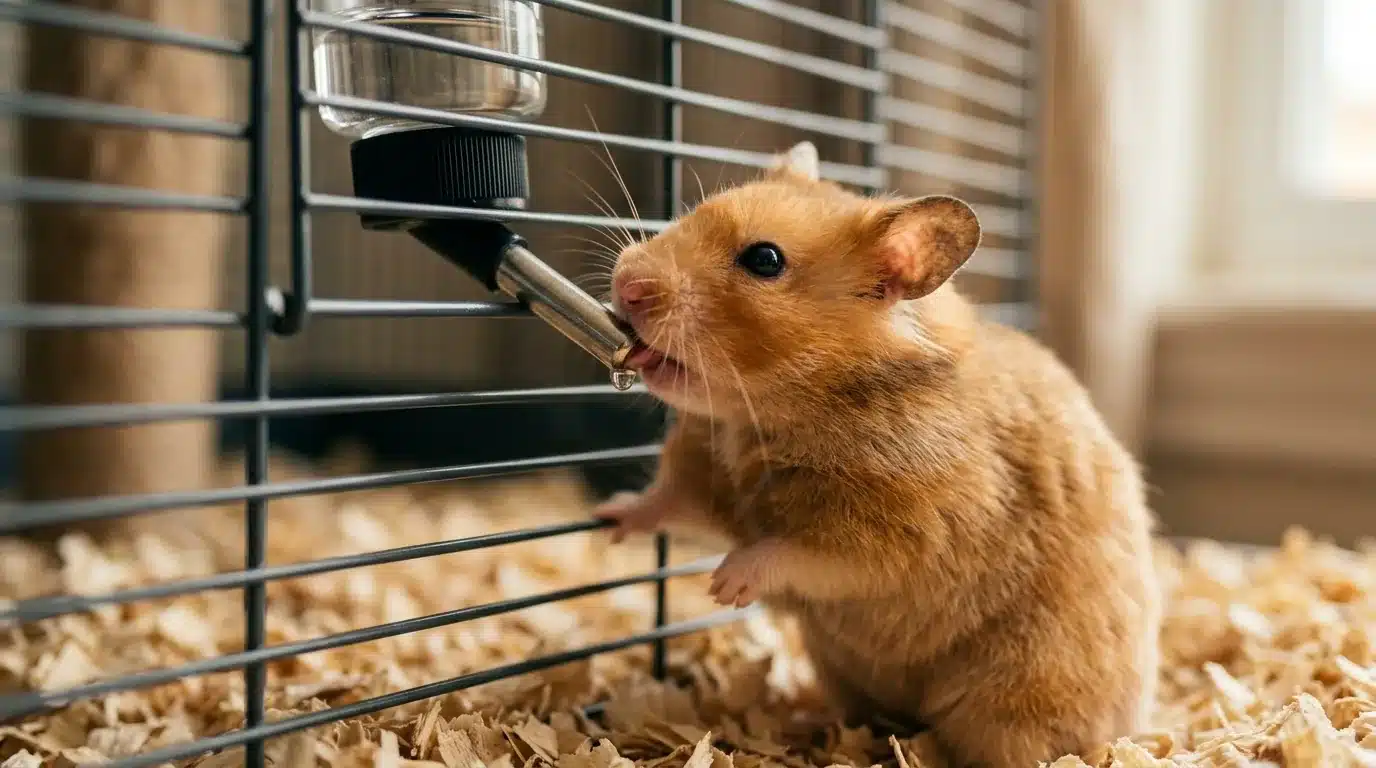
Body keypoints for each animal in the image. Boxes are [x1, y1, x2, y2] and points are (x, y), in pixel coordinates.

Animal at [595, 141, 1161, 767]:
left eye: (764, 259)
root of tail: (1132, 725)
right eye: (694, 212)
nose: (627, 284)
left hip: (1014, 704)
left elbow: (794, 551)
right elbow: (666, 502)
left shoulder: (898, 534)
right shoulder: (708, 482)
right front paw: (609, 520)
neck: (772, 415)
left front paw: (726, 584)